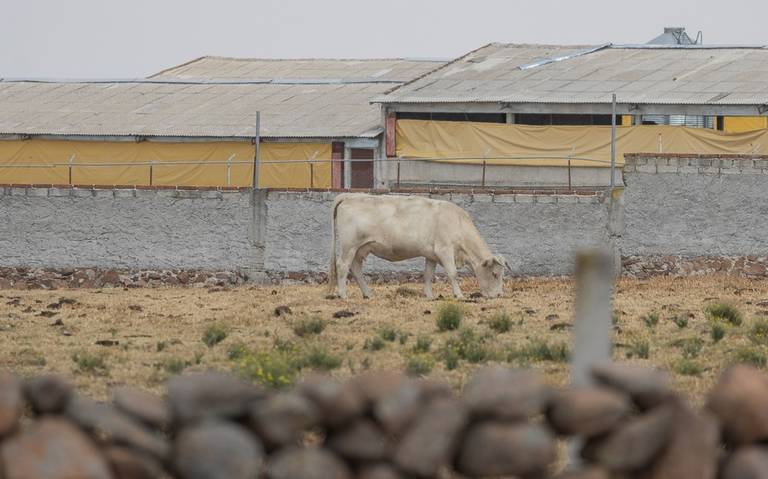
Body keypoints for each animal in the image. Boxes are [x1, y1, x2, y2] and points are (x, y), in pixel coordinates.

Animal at [326, 192, 510, 298]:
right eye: (495, 274)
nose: (499, 295)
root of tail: (349, 196)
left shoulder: (431, 255)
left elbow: (428, 275)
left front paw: (429, 295)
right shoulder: (444, 250)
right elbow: (452, 273)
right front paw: (459, 295)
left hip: (360, 249)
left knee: (356, 268)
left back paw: (367, 294)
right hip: (349, 246)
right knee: (342, 266)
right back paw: (343, 295)